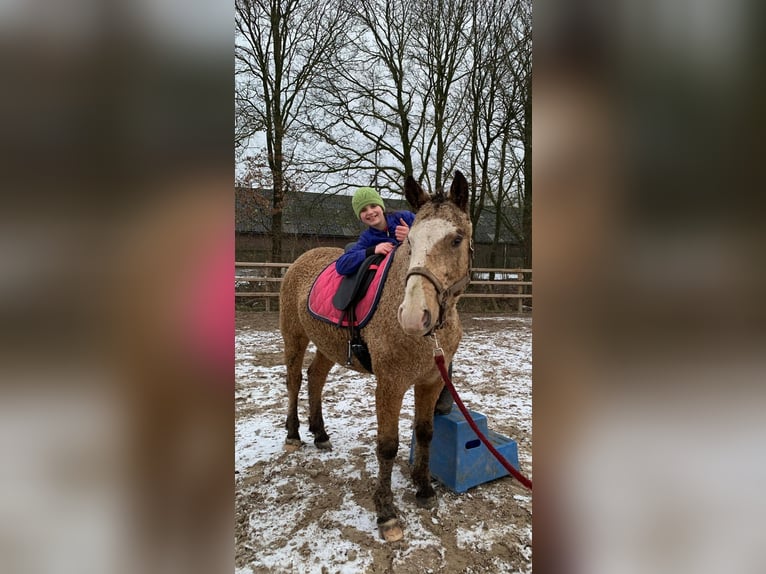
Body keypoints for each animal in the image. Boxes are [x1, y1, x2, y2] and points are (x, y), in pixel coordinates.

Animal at [278, 171, 473, 542]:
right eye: (410, 240)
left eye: (456, 239)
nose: (413, 317)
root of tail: (302, 259)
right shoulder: (390, 383)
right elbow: (387, 445)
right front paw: (387, 513)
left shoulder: (430, 381)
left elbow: (425, 432)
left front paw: (424, 489)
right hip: (293, 336)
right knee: (294, 380)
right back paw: (294, 435)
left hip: (327, 345)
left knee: (315, 378)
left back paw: (320, 433)